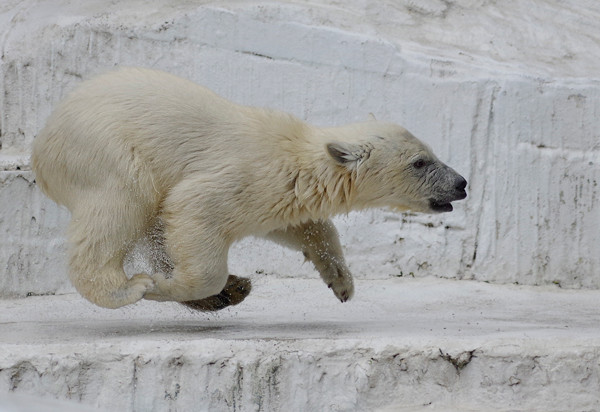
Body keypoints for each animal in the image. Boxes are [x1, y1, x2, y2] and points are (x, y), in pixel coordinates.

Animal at [30, 67, 466, 310]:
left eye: (430, 153)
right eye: (420, 162)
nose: (462, 184)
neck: (297, 154)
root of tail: (42, 143)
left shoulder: (278, 194)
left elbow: (301, 226)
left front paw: (340, 280)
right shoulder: (242, 173)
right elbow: (193, 207)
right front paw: (165, 287)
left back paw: (227, 294)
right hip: (107, 151)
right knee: (120, 207)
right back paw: (128, 288)